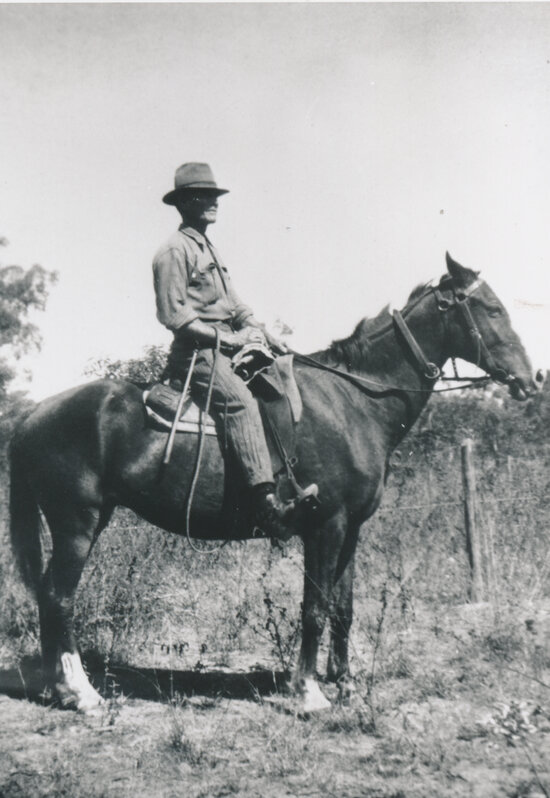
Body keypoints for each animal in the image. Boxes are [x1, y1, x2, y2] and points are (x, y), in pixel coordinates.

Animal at [9, 253, 539, 713]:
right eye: (492, 309)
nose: (530, 380)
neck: (354, 401)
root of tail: (32, 414)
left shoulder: (351, 530)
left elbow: (343, 608)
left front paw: (345, 683)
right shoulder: (325, 526)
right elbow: (314, 608)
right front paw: (308, 691)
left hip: (85, 522)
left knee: (49, 596)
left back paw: (58, 688)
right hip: (77, 524)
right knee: (59, 597)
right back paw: (81, 693)